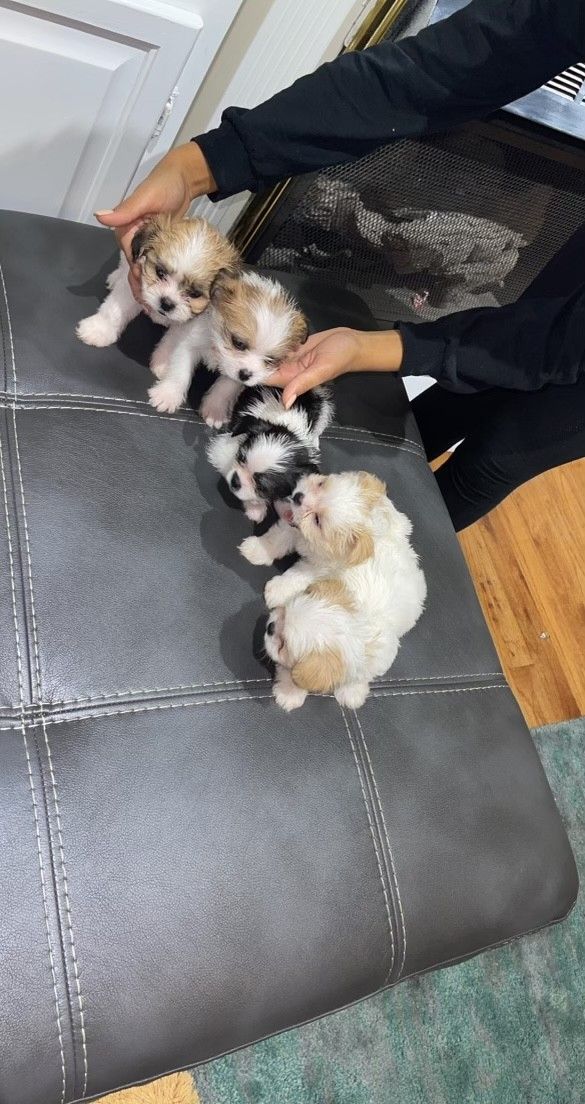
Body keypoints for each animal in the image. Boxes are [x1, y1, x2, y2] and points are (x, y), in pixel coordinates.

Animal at [205, 386, 333, 527]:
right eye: (240, 458)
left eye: (261, 488)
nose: (235, 481)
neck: (282, 422)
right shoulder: (223, 450)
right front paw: (256, 508)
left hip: (321, 405)